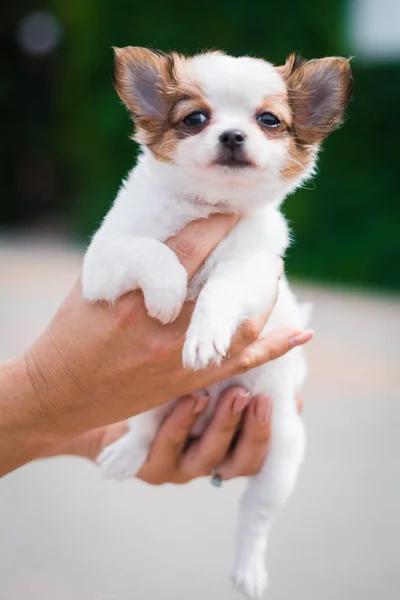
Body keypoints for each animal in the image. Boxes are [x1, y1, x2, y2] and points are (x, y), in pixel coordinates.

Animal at [83, 48, 352, 600]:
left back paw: (249, 568)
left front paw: (203, 334)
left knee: (253, 517)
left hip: (280, 454)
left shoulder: (253, 272)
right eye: (195, 119)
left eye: (269, 120)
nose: (232, 136)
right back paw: (127, 452)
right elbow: (152, 251)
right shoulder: (101, 261)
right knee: (144, 430)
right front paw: (167, 292)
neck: (205, 206)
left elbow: (219, 290)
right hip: (150, 398)